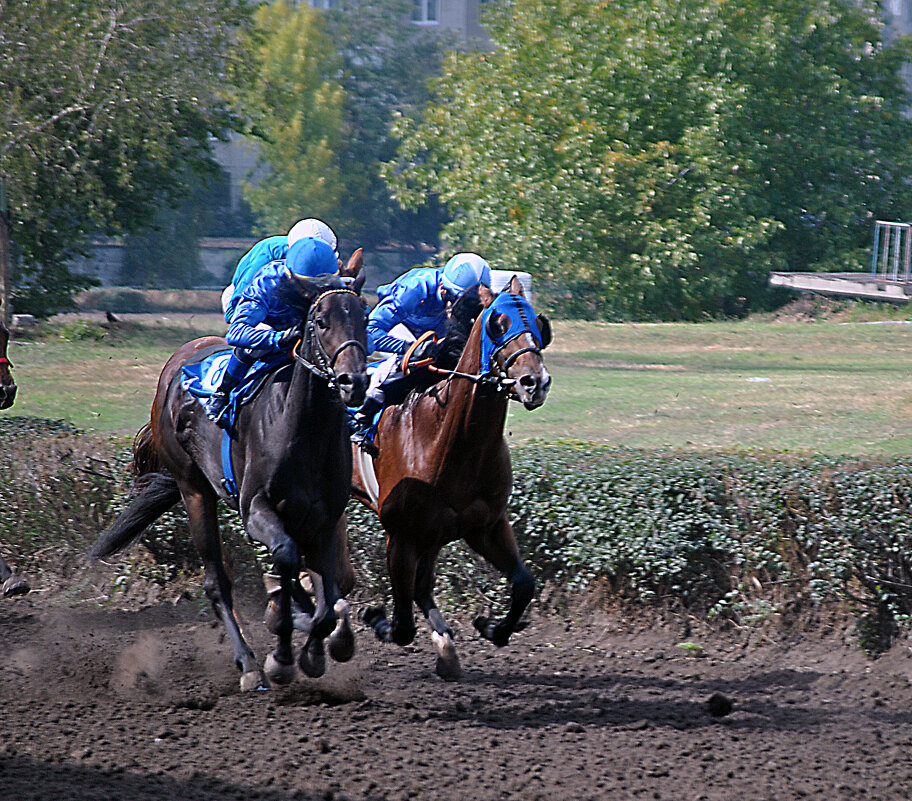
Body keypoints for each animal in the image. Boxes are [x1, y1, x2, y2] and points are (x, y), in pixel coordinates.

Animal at [88, 255, 366, 688]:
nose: (355, 381)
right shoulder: (256, 508)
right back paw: (250, 664)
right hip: (194, 489)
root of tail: (177, 363)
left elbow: (326, 591)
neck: (304, 429)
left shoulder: (323, 518)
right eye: (320, 320)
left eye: (364, 315)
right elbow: (289, 561)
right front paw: (281, 655)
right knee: (218, 581)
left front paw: (316, 646)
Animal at [350, 278, 548, 680]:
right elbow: (402, 625)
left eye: (538, 323)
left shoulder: (486, 525)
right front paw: (376, 616)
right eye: (497, 323)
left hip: (433, 535)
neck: (449, 439)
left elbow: (524, 584)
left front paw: (491, 626)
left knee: (423, 587)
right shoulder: (401, 535)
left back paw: (446, 649)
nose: (534, 382)